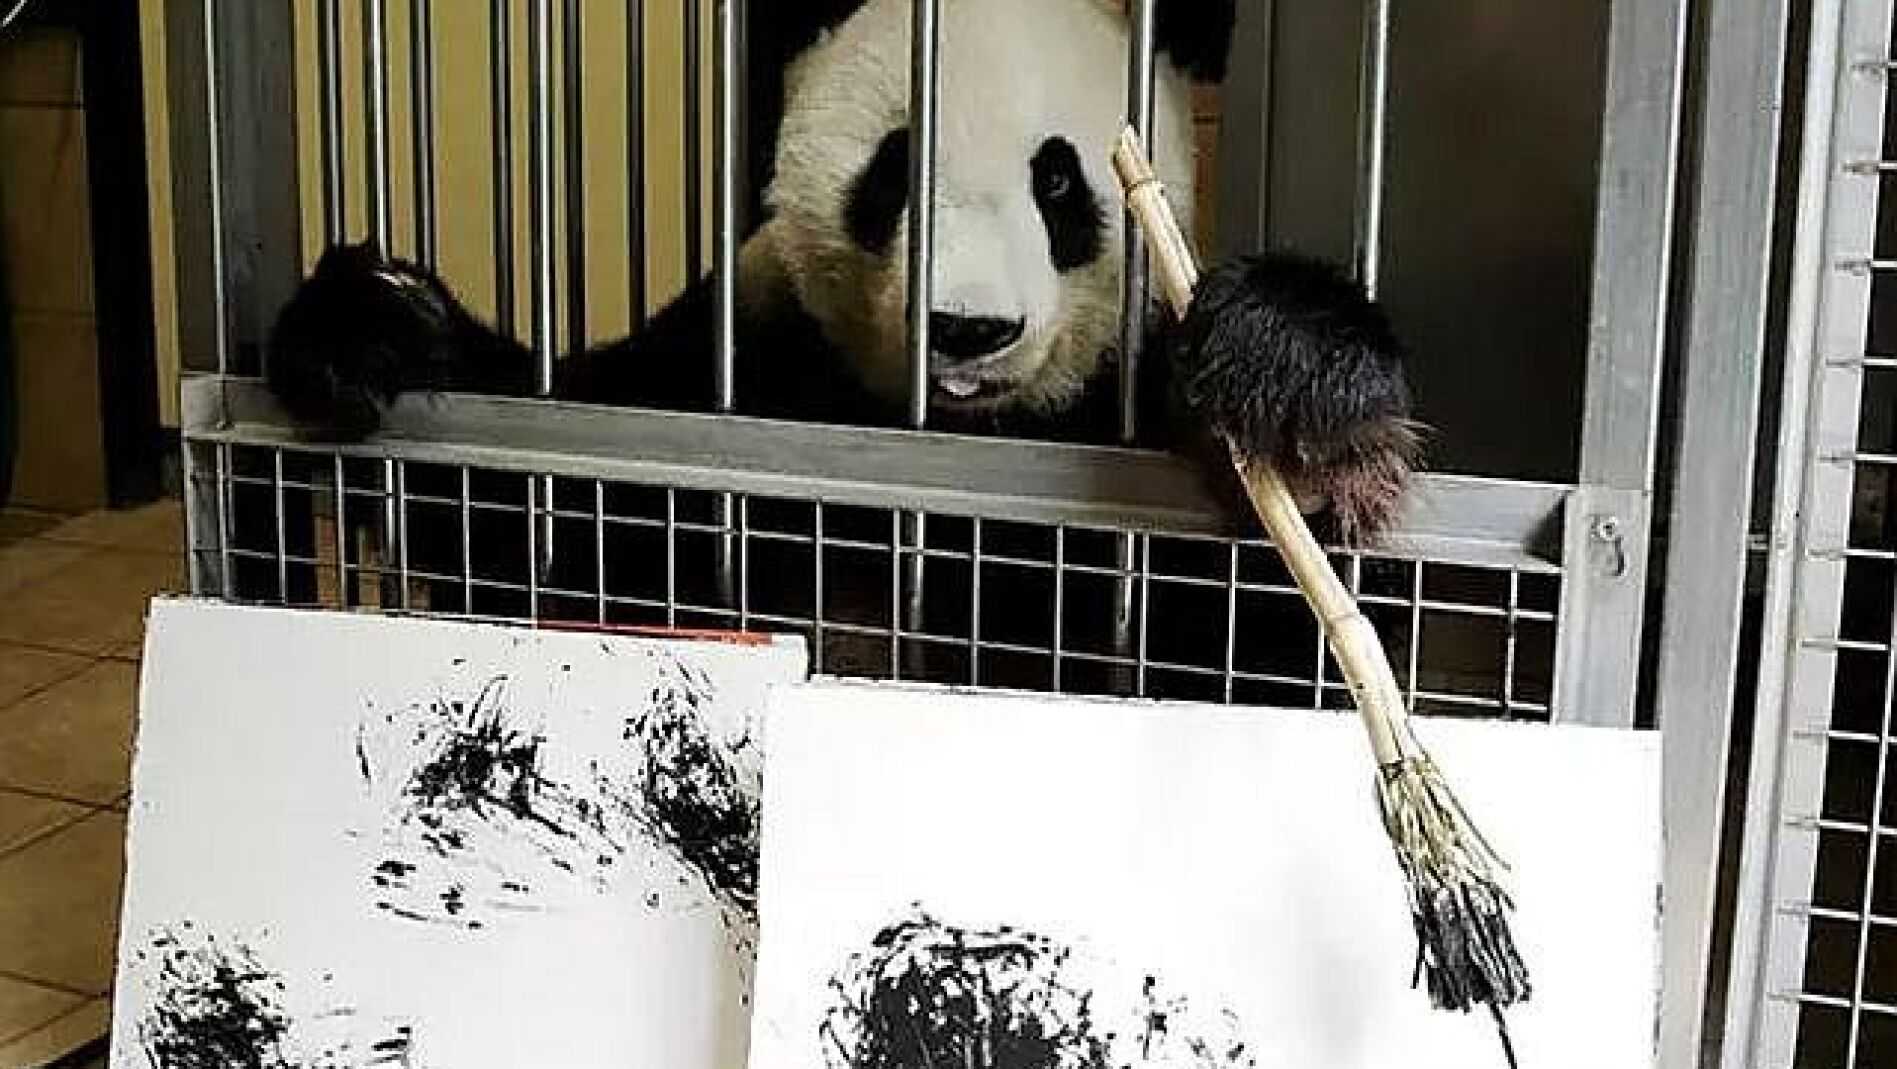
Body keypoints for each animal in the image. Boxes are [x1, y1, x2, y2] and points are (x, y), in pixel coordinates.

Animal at [258, 0, 1417, 691]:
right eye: (895, 166)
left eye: (1057, 179)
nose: (967, 329)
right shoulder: (746, 375)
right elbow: (537, 541)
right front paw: (375, 326)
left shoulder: (1110, 431)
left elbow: (1266, 656)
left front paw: (1298, 386)